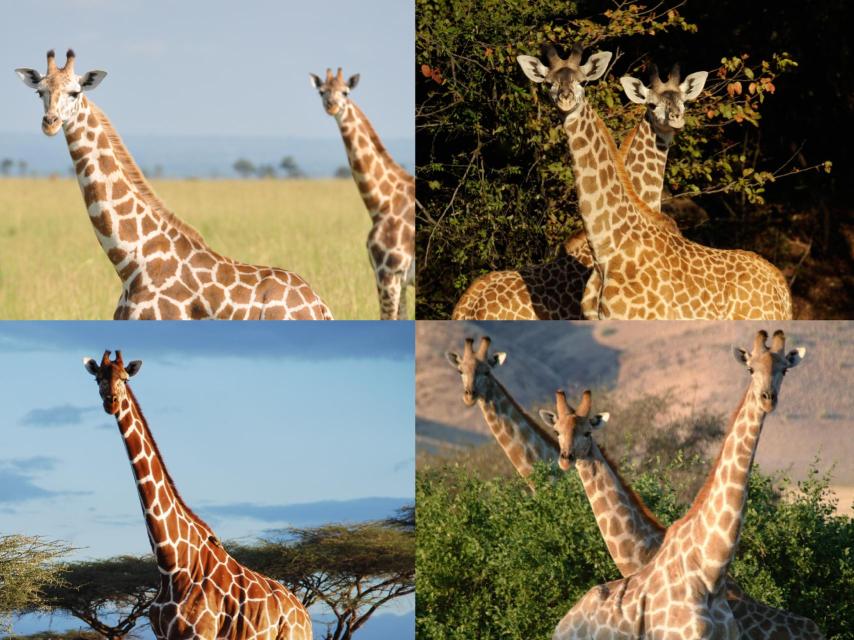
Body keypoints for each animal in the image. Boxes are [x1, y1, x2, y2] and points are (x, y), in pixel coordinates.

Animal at [83, 350, 312, 640]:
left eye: (125, 379)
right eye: (98, 379)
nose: (111, 402)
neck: (171, 563)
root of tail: (304, 614)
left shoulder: (201, 633)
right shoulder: (164, 635)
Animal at [310, 68, 414, 320]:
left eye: (345, 92)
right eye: (321, 91)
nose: (332, 106)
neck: (383, 202)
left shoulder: (388, 273)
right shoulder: (398, 278)